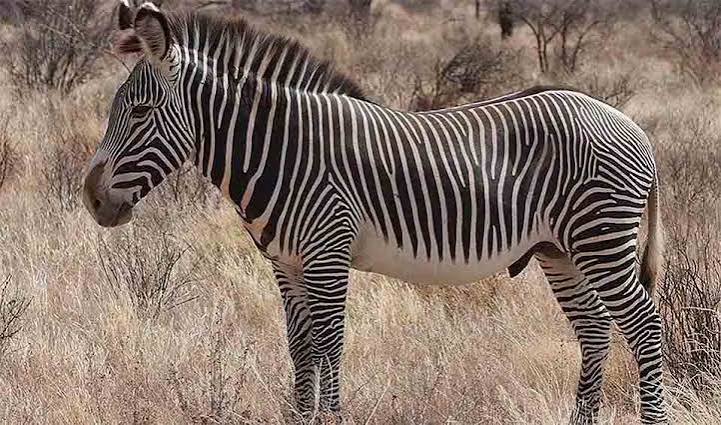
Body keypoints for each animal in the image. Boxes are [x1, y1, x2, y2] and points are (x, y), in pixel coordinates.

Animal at [82, 2, 666, 423]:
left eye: (140, 111)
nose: (91, 199)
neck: (284, 151)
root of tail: (629, 124)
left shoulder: (326, 253)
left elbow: (330, 343)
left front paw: (331, 418)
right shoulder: (286, 263)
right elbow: (300, 347)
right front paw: (303, 418)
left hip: (600, 239)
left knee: (645, 325)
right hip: (560, 250)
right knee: (595, 331)